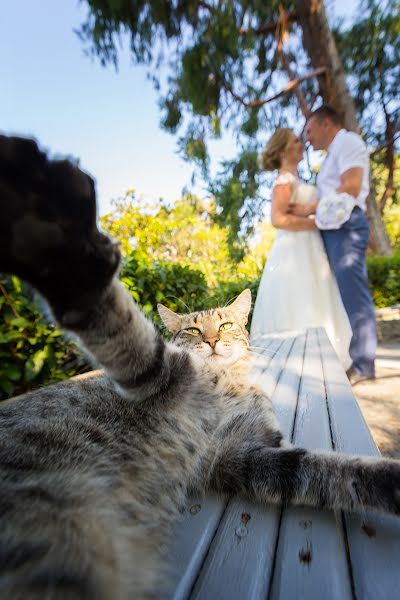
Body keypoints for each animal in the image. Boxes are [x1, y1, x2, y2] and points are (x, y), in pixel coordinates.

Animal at [0, 136, 400, 600]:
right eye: (193, 330)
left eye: (224, 325)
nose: (210, 341)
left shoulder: (248, 455)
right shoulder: (163, 378)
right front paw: (65, 254)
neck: (230, 385)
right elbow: (123, 328)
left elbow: (337, 471)